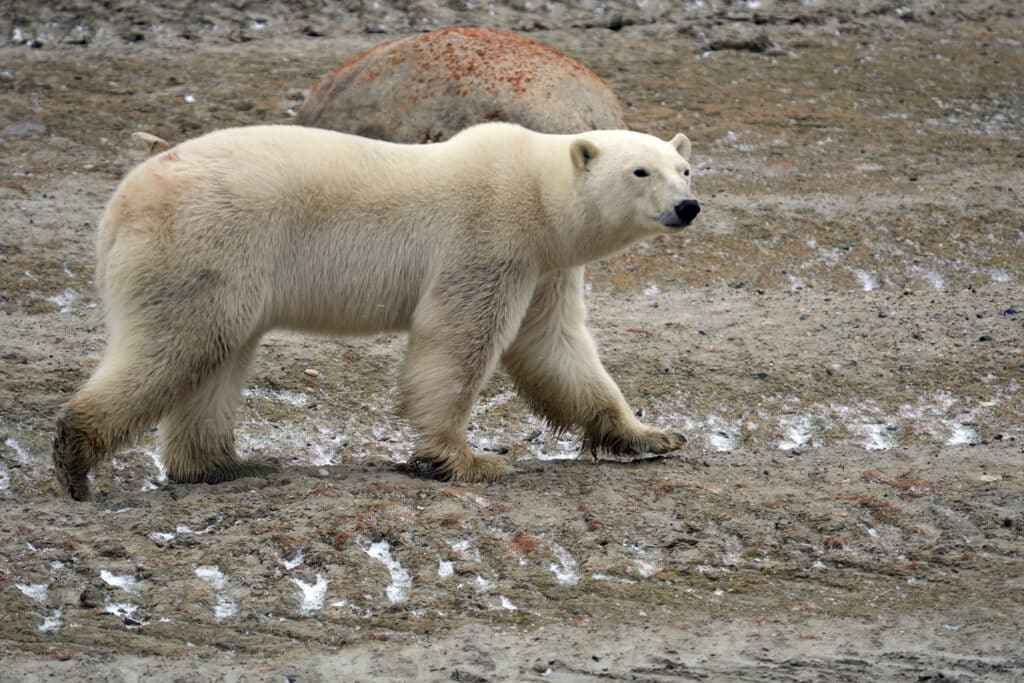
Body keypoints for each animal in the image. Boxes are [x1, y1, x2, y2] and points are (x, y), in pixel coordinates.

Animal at [52, 122, 700, 501]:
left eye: (685, 168)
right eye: (640, 170)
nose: (688, 205)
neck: (539, 196)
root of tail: (121, 202)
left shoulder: (547, 268)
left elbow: (555, 349)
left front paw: (653, 435)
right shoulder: (488, 238)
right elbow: (457, 340)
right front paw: (469, 460)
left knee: (215, 357)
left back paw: (223, 465)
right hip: (205, 244)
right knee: (179, 345)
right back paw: (76, 456)